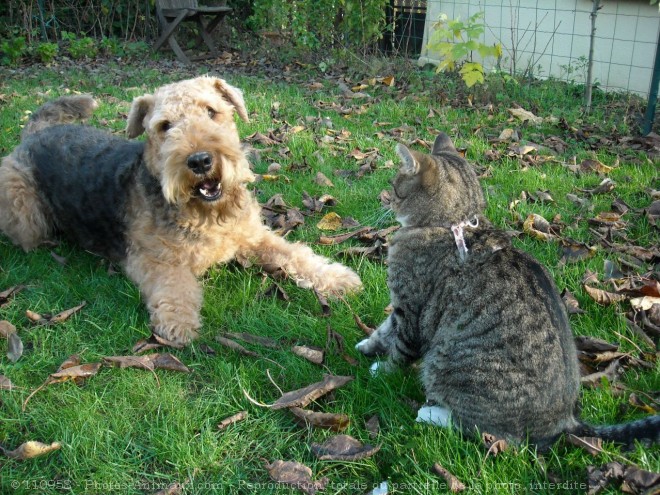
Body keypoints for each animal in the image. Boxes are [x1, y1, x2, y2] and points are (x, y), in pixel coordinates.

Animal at [0, 77, 360, 344]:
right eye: (164, 126)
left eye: (212, 111)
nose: (200, 160)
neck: (207, 214)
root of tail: (35, 133)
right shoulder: (154, 259)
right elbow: (176, 286)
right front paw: (179, 324)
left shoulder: (255, 236)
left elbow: (296, 255)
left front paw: (338, 278)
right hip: (24, 211)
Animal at [358, 133, 660, 450]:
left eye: (394, 186)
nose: (385, 199)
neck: (453, 223)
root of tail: (565, 421)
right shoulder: (402, 309)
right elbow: (383, 330)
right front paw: (366, 345)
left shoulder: (410, 309)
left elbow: (399, 346)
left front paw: (382, 372)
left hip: (453, 369)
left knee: (487, 432)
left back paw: (432, 414)